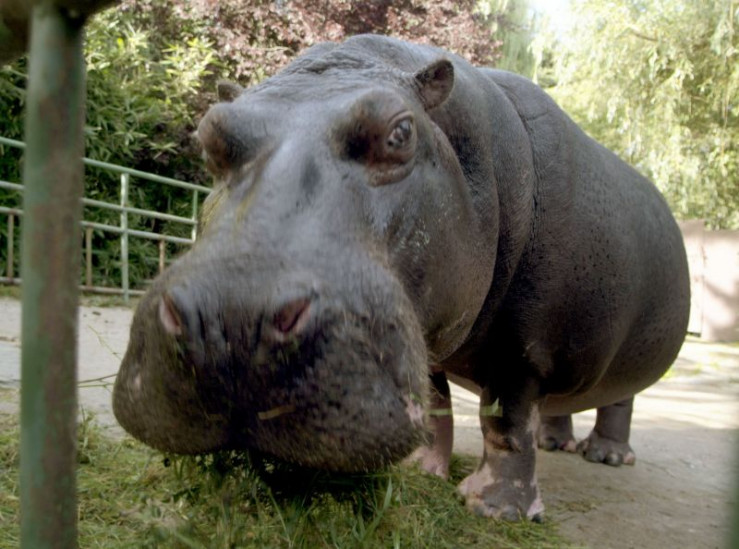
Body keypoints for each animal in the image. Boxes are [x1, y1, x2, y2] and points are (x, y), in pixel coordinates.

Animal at [113, 34, 690, 520]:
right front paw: (420, 473)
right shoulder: (425, 335)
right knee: (561, 405)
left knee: (616, 400)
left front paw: (494, 510)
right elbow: (434, 406)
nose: (230, 319)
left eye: (401, 131)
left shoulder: (523, 351)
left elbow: (505, 422)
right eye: (209, 134)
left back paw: (606, 457)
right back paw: (557, 443)